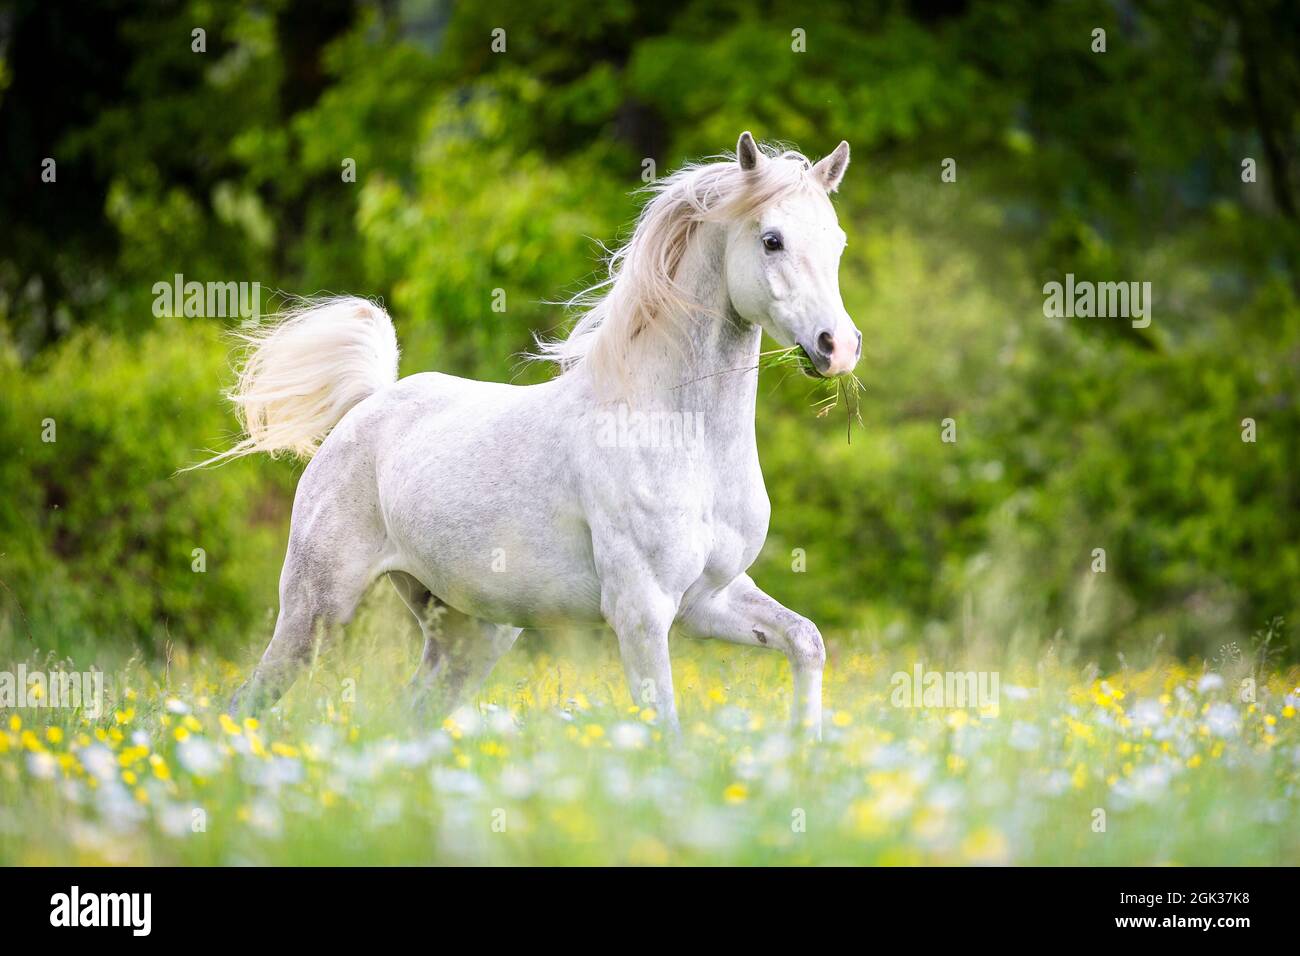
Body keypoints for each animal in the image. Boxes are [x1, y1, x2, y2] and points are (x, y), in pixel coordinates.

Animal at [208, 132, 860, 738]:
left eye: (837, 243)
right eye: (772, 239)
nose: (838, 347)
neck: (684, 438)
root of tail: (367, 406)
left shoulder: (708, 600)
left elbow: (807, 640)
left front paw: (805, 749)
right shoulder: (642, 611)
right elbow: (664, 727)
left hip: (473, 630)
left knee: (412, 712)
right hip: (317, 609)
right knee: (249, 701)